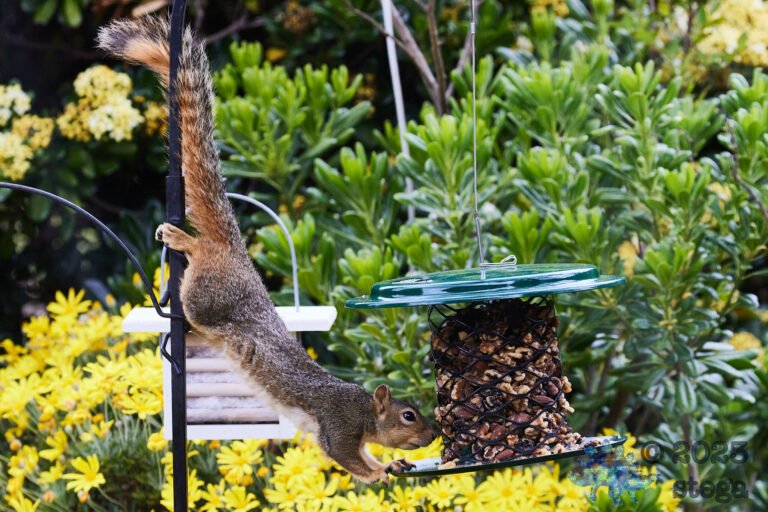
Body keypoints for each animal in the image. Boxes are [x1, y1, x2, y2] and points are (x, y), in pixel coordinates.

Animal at [96, 16, 435, 483]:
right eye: (408, 415)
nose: (433, 434)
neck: (366, 412)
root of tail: (235, 254)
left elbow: (362, 456)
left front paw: (391, 462)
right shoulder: (339, 426)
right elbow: (347, 457)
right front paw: (381, 472)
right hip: (206, 296)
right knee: (201, 258)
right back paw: (185, 240)